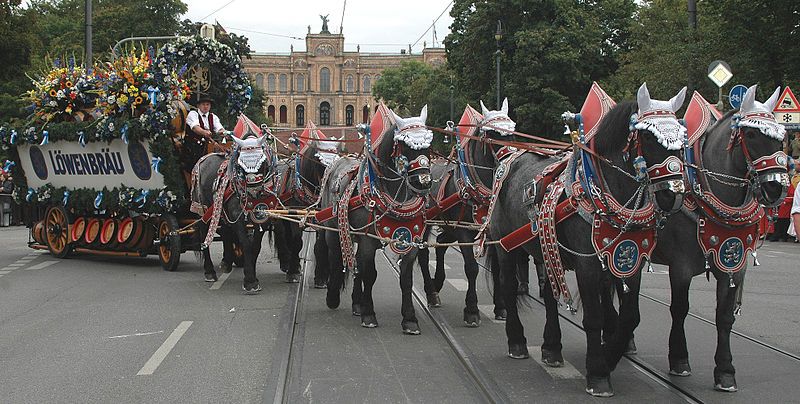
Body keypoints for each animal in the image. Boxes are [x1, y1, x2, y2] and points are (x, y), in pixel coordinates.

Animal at [190, 115, 288, 292]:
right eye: (240, 165)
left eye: (263, 161)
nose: (254, 190)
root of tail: (203, 159)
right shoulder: (237, 215)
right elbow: (245, 243)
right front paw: (250, 280)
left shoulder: (262, 217)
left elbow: (255, 245)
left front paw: (252, 273)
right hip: (203, 209)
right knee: (204, 236)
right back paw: (209, 271)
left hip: (221, 212)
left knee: (226, 232)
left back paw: (227, 262)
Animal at [318, 104, 432, 334]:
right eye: (405, 146)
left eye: (428, 146)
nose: (423, 182)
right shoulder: (369, 240)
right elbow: (370, 274)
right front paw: (369, 314)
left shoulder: (411, 240)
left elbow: (406, 279)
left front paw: (410, 319)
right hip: (332, 230)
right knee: (336, 259)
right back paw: (333, 297)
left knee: (357, 267)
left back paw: (356, 303)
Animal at [418, 99, 520, 326]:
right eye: (492, 133)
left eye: (512, 130)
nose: (511, 159)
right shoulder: (464, 232)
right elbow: (472, 268)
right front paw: (472, 310)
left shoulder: (488, 232)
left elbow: (496, 269)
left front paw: (500, 307)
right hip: (429, 224)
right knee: (423, 253)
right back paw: (431, 292)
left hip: (450, 225)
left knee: (440, 245)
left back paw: (437, 283)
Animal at [488, 83, 688, 396]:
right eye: (647, 136)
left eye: (682, 137)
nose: (674, 193)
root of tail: (509, 156)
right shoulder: (588, 265)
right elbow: (593, 317)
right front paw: (598, 372)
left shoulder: (629, 260)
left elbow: (630, 317)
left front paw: (610, 355)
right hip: (505, 245)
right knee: (508, 287)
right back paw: (517, 341)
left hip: (546, 250)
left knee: (549, 296)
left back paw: (551, 347)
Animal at [652, 85, 792, 392]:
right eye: (751, 134)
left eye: (783, 136)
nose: (777, 188)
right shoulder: (680, 268)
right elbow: (679, 308)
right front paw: (679, 359)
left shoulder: (733, 265)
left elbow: (725, 317)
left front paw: (725, 371)